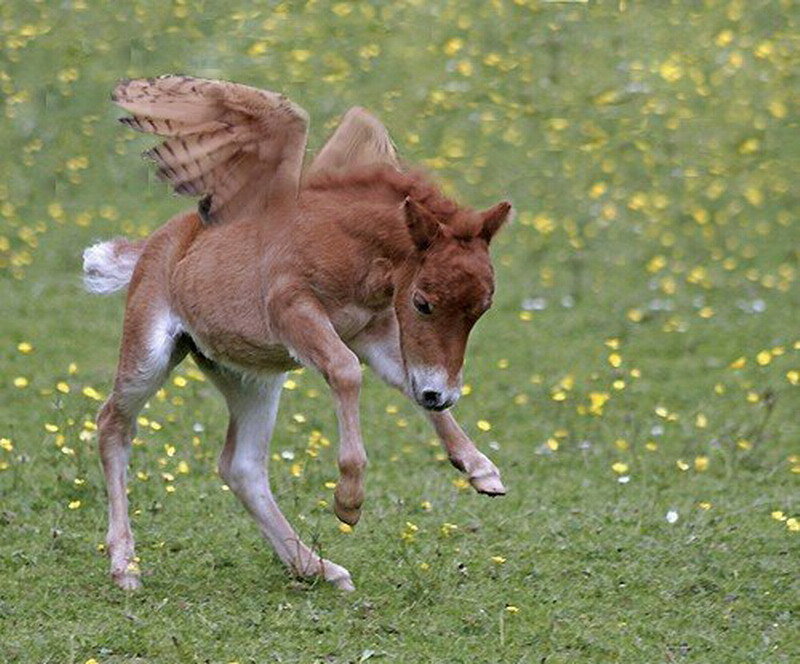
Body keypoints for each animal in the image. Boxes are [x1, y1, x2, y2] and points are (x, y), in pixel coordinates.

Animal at [83, 76, 512, 591]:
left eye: (482, 310)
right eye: (422, 302)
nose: (441, 395)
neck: (347, 246)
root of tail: (153, 244)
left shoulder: (372, 332)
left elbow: (402, 380)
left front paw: (481, 470)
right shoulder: (294, 310)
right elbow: (346, 372)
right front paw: (348, 501)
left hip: (252, 378)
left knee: (242, 466)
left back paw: (315, 567)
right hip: (149, 354)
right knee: (113, 424)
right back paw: (124, 565)